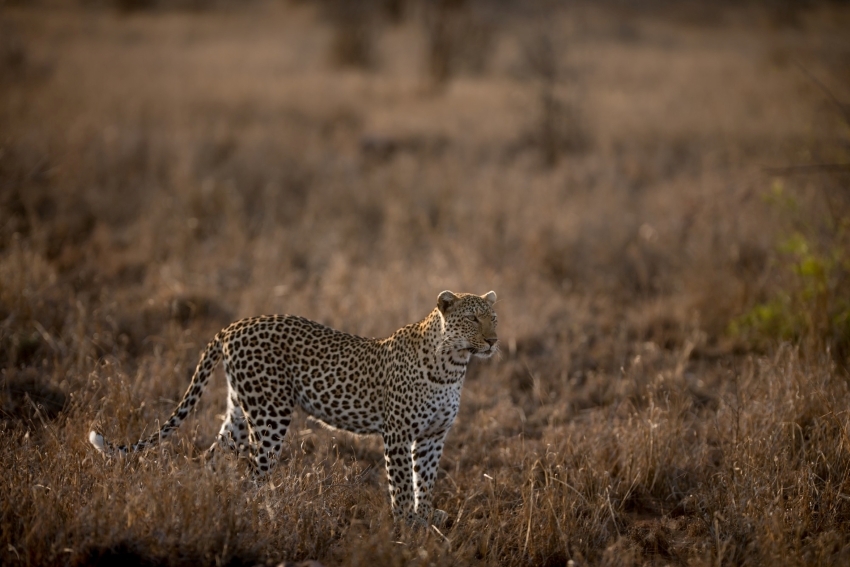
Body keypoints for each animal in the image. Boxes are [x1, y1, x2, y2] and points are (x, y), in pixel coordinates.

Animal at [88, 290, 496, 524]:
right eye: (472, 318)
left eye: (493, 317)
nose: (493, 340)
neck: (453, 365)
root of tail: (234, 325)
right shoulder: (397, 433)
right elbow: (401, 482)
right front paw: (405, 524)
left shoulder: (433, 436)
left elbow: (425, 478)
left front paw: (425, 517)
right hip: (270, 413)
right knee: (254, 472)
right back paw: (265, 513)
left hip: (241, 409)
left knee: (214, 457)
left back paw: (209, 502)